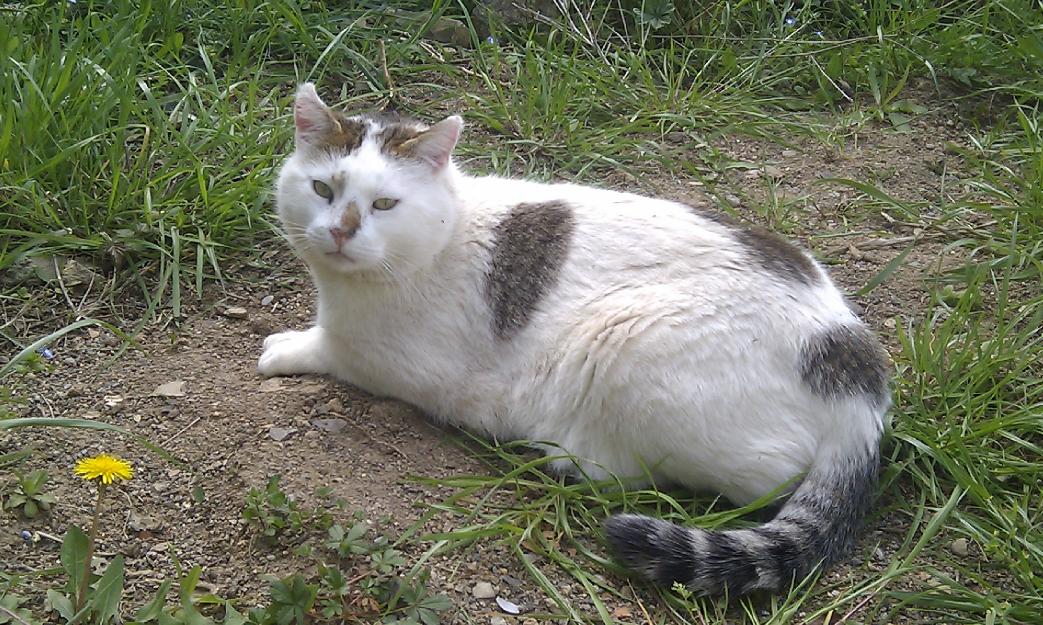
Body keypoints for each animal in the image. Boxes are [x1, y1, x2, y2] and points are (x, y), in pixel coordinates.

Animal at [258, 82, 888, 596]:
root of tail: (860, 382)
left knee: (751, 478)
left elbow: (333, 347)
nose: (340, 232)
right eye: (322, 189)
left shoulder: (399, 364)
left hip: (628, 339)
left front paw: (287, 347)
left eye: (385, 203)